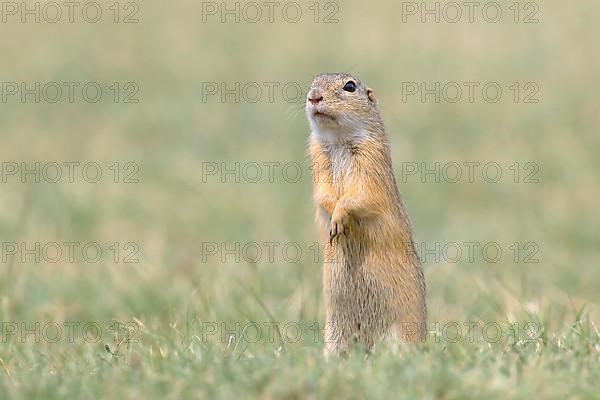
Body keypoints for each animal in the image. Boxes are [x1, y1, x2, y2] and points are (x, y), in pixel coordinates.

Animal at [304, 72, 426, 356]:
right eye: (313, 82)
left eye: (350, 86)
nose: (314, 96)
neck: (338, 139)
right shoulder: (319, 160)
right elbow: (323, 192)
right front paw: (333, 220)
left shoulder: (370, 160)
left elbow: (362, 194)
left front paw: (339, 218)